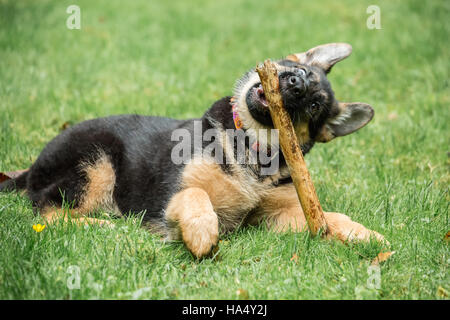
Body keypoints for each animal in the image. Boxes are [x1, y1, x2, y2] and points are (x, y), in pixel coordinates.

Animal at [0, 43, 386, 258]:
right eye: (300, 70)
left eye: (313, 106)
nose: (295, 84)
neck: (249, 149)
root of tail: (31, 170)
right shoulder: (173, 195)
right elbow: (196, 195)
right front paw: (202, 231)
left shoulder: (277, 214)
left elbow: (328, 217)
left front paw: (362, 233)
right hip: (97, 162)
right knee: (49, 211)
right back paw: (105, 228)